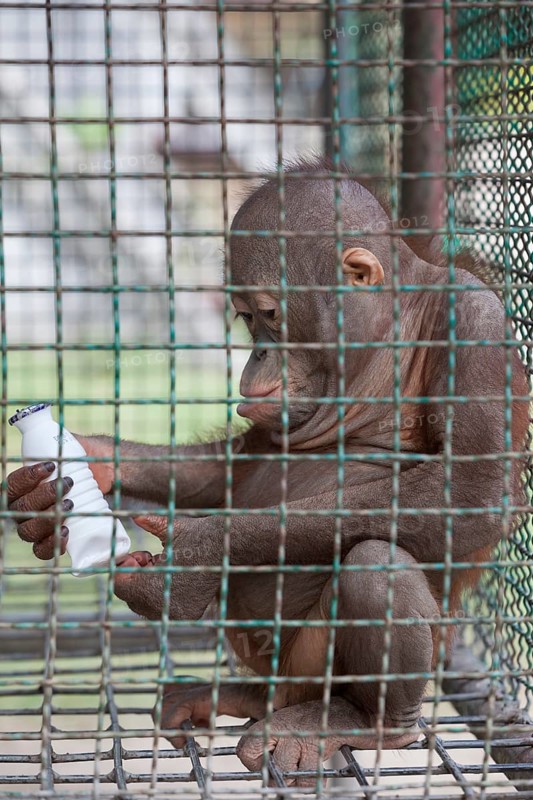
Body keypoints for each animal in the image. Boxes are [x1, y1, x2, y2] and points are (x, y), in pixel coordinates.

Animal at [8, 159, 529, 787]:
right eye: (246, 318)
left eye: (271, 314)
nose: (256, 354)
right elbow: (237, 466)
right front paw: (74, 471)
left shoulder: (475, 320)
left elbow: (473, 491)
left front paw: (195, 558)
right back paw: (239, 698)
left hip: (310, 667)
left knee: (376, 565)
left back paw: (366, 722)